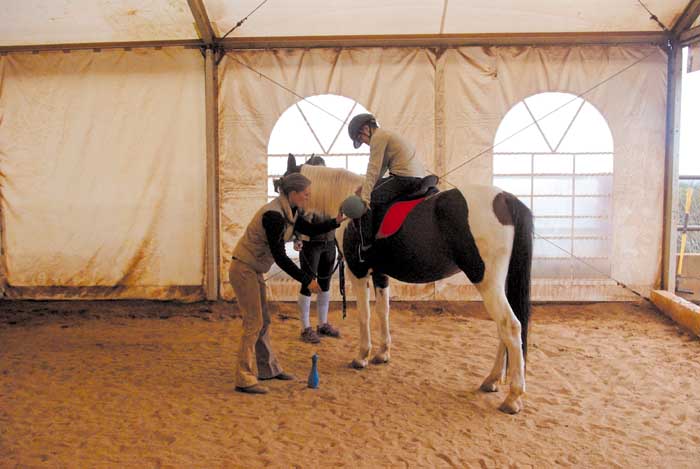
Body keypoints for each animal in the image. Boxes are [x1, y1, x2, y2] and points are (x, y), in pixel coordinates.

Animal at [282, 154, 532, 414]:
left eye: (280, 183)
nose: (293, 233)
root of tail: (505, 199)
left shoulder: (357, 273)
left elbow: (364, 315)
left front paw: (362, 356)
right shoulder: (380, 273)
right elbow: (383, 311)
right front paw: (382, 353)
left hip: (486, 281)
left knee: (510, 326)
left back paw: (512, 397)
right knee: (504, 329)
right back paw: (491, 380)